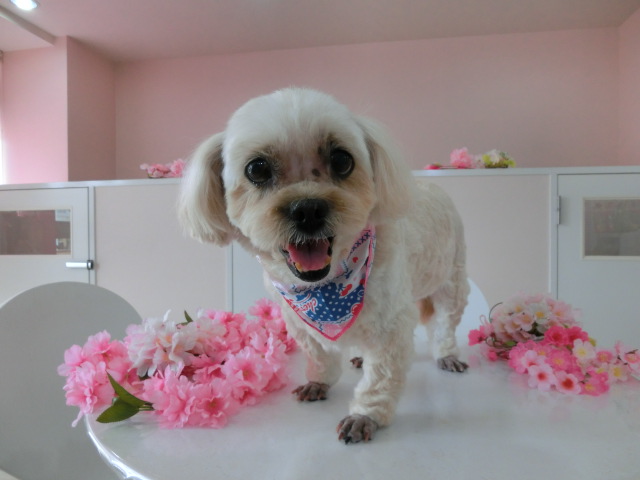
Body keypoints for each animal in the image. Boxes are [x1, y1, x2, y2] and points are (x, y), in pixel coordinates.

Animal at [179, 88, 469, 444]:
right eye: (257, 169)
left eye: (343, 160)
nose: (307, 209)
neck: (324, 288)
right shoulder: (300, 320)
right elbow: (319, 355)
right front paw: (319, 381)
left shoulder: (392, 325)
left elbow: (380, 378)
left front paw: (365, 415)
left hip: (452, 281)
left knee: (444, 324)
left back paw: (447, 354)